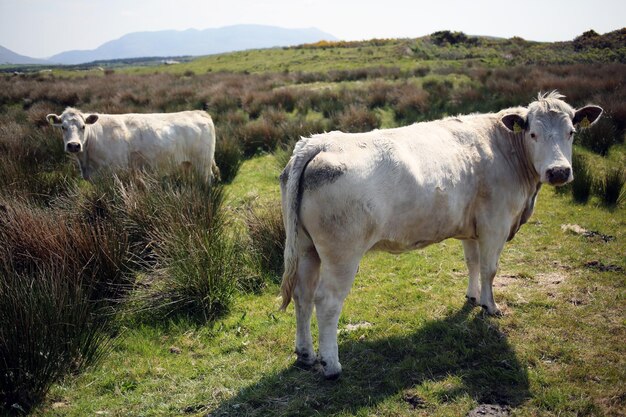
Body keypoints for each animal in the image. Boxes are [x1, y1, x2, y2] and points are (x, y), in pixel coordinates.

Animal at [47, 107, 217, 180]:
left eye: (83, 126)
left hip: (203, 164)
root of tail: (199, 112)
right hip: (187, 164)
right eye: (63, 127)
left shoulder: (115, 173)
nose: (74, 145)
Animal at [278, 91, 600, 376]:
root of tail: (318, 142)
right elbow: (490, 268)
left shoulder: (472, 229)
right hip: (341, 254)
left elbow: (472, 263)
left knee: (303, 295)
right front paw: (491, 306)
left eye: (571, 132)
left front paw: (473, 297)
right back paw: (331, 365)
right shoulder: (495, 224)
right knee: (327, 302)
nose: (558, 172)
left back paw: (305, 354)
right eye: (533, 134)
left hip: (306, 248)